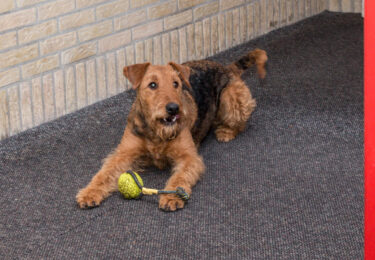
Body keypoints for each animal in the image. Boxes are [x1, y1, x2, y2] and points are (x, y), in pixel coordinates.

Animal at [76, 48, 268, 211]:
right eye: (152, 85)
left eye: (176, 84)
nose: (174, 108)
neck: (156, 133)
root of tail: (226, 68)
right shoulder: (123, 153)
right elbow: (104, 173)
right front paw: (89, 193)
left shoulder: (189, 157)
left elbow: (180, 178)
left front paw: (172, 197)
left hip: (233, 99)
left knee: (241, 122)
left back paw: (226, 131)